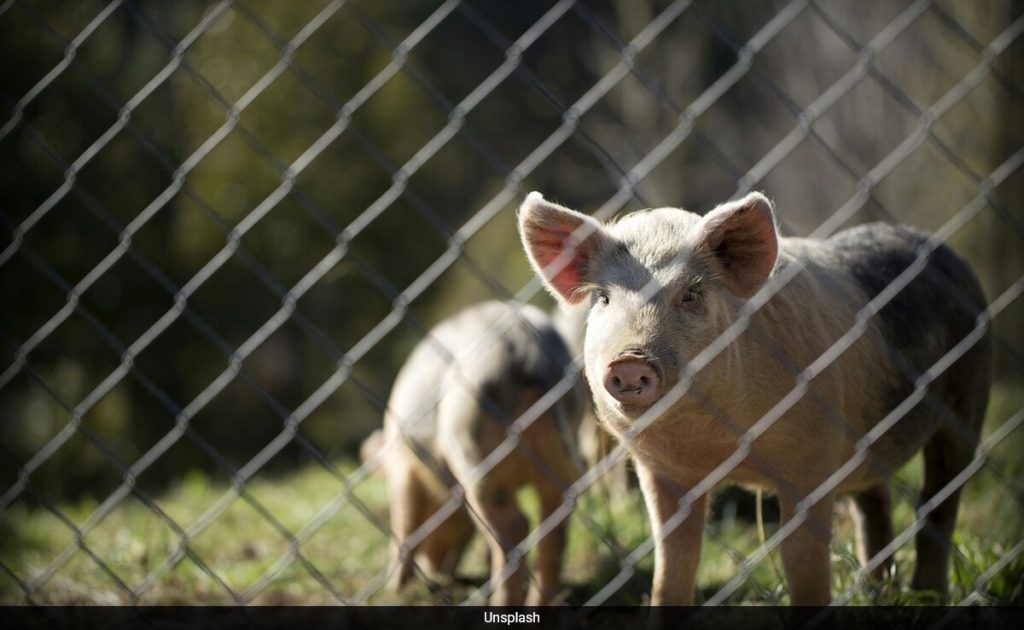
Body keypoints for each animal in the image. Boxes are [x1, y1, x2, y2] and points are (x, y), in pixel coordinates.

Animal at [380, 301, 585, 606]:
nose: (441, 571)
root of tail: (526, 351)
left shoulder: (403, 466)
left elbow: (403, 519)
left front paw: (393, 589)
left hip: (470, 440)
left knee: (515, 525)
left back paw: (499, 603)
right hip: (563, 446)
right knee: (554, 521)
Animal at [520, 189, 991, 602]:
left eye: (691, 294)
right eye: (603, 298)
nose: (629, 361)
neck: (717, 446)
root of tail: (941, 251)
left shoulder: (812, 458)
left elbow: (800, 560)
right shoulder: (660, 471)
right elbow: (673, 564)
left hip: (969, 392)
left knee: (939, 498)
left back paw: (927, 596)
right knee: (875, 500)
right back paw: (880, 593)